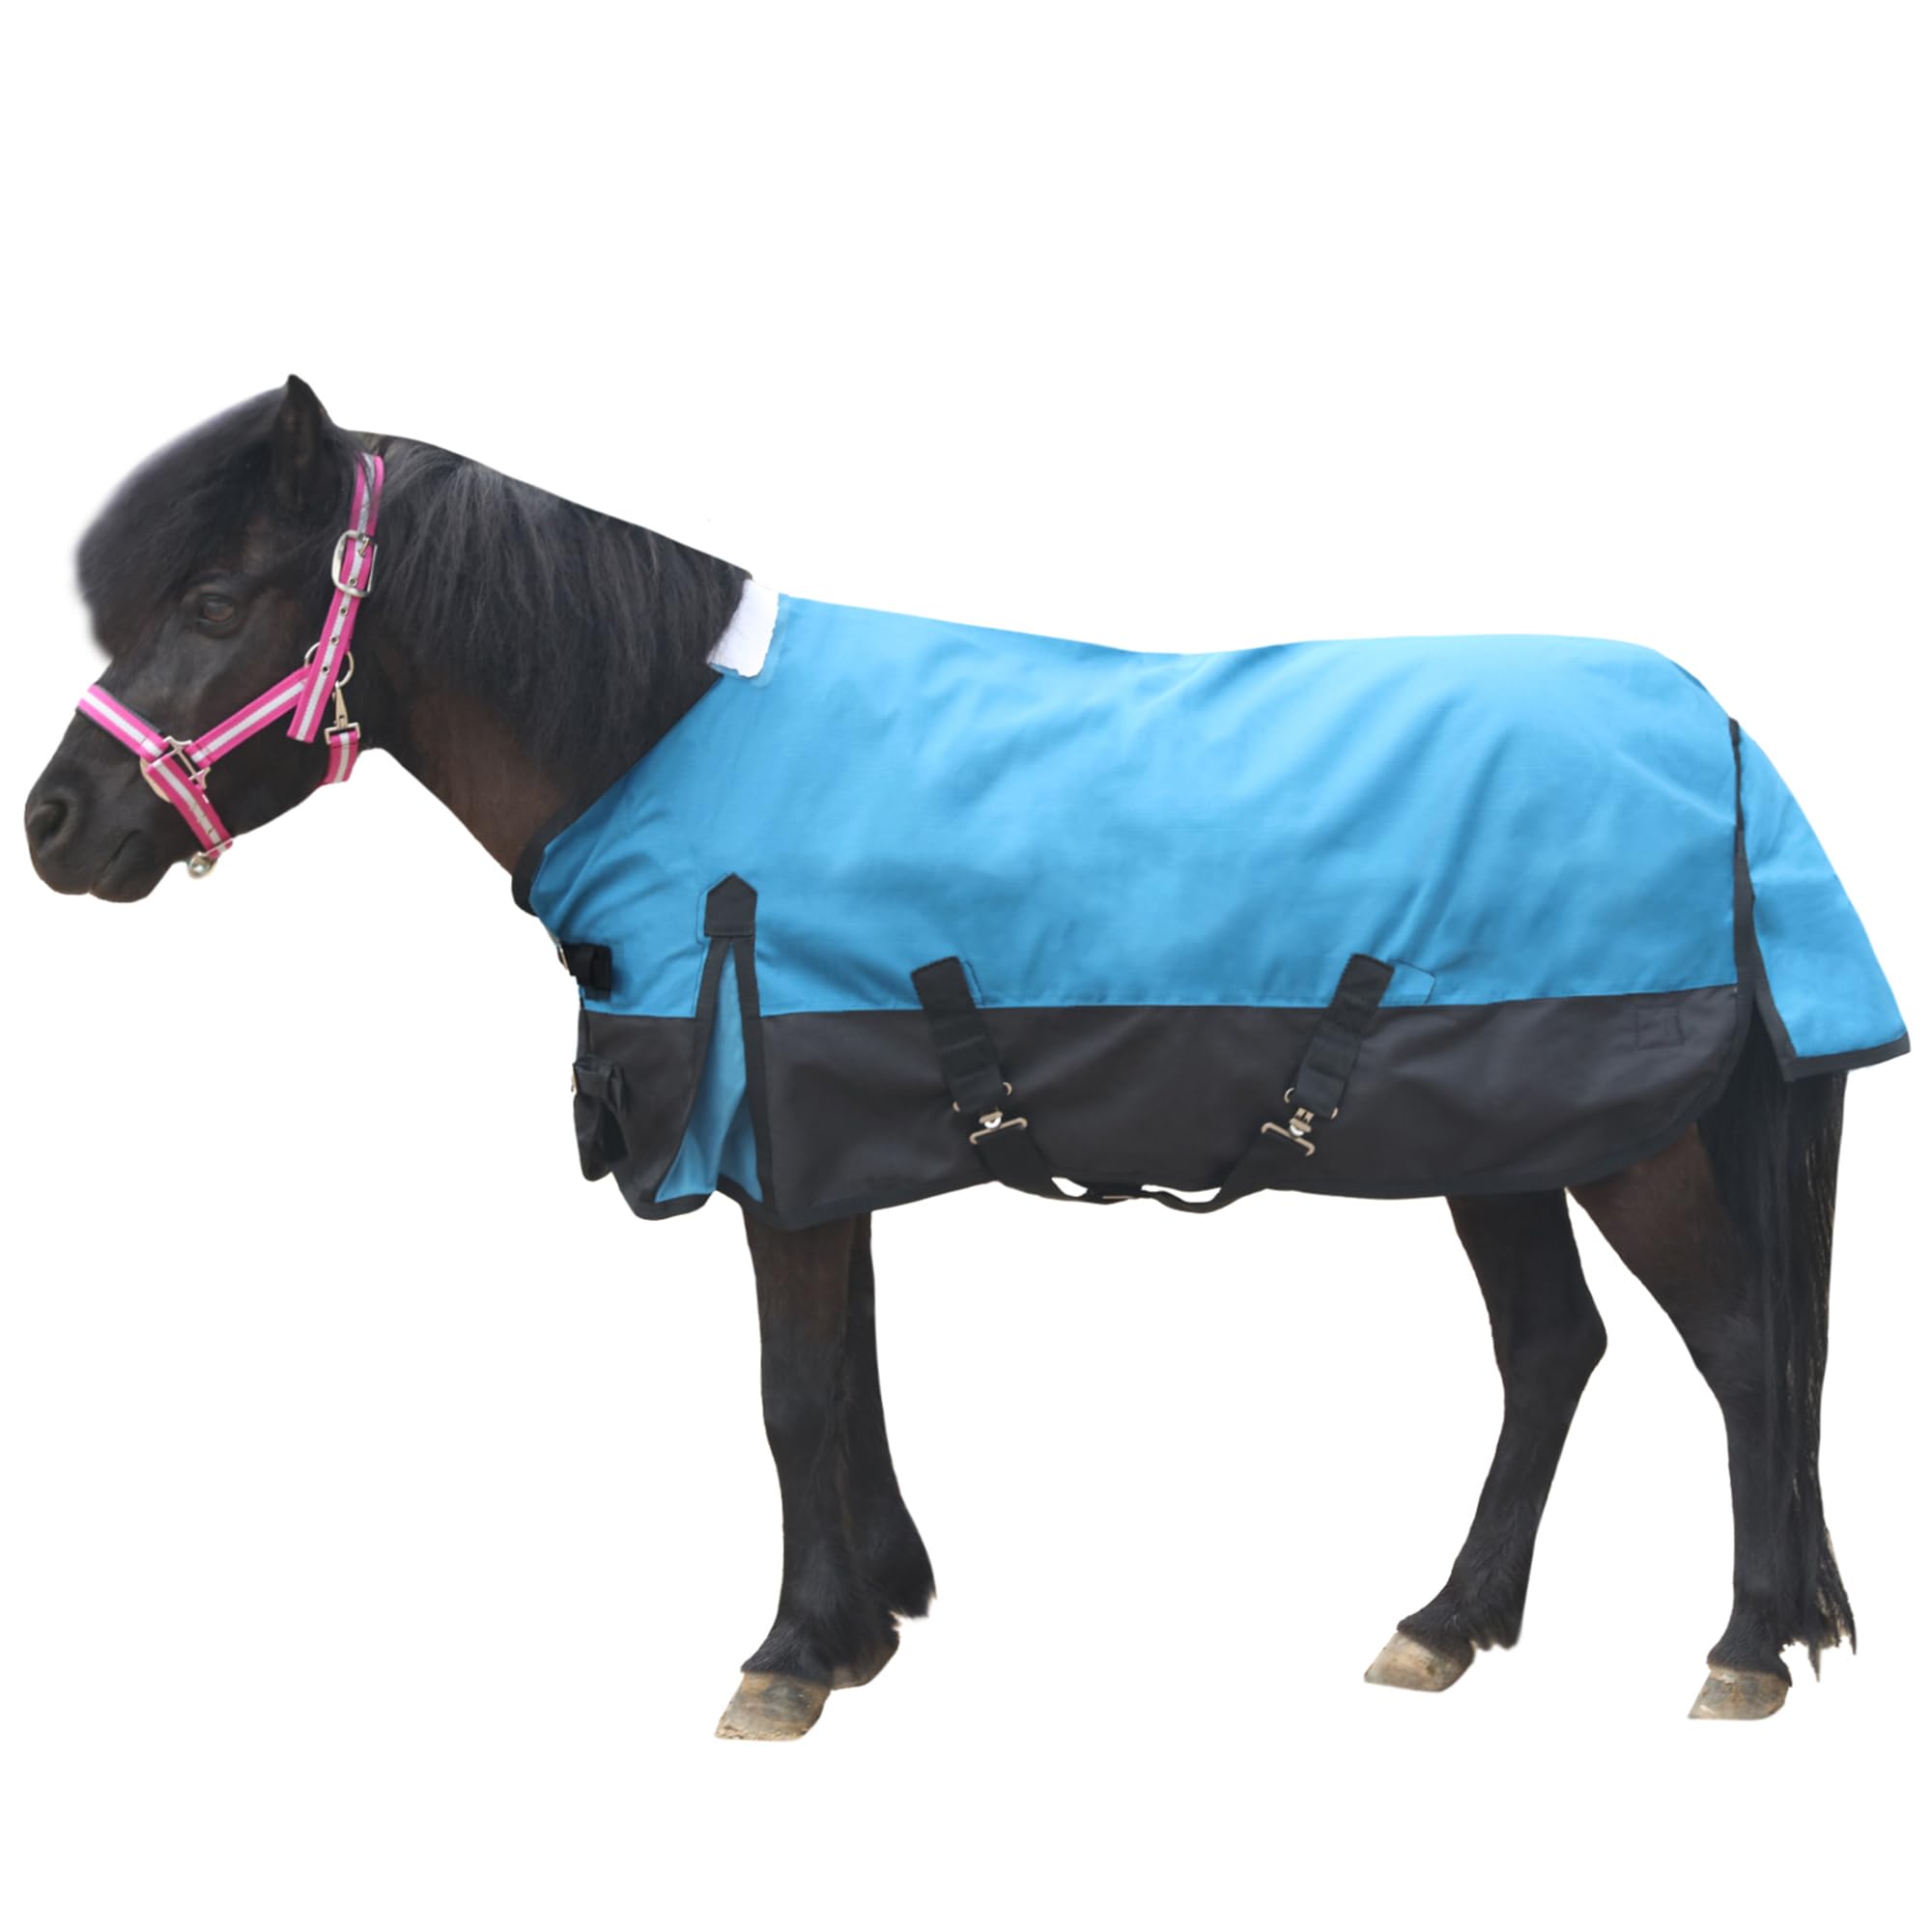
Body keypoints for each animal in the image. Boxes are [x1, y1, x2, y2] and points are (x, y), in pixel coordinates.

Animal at [24, 377, 1904, 1737]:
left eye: (216, 594)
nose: (53, 824)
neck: (661, 735)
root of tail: (1727, 739)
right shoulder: (813, 1138)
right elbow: (847, 1381)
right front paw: (871, 1621)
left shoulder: (770, 1139)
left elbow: (792, 1394)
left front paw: (790, 1657)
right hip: (1500, 1133)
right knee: (1555, 1354)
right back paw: (1446, 1627)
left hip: (1623, 1142)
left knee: (1746, 1354)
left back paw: (1743, 1651)